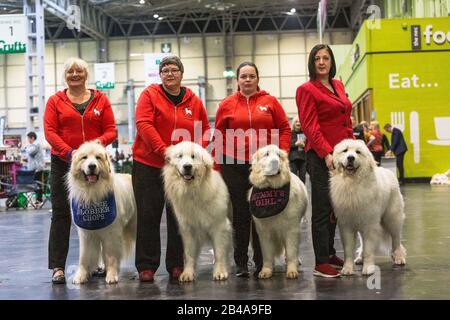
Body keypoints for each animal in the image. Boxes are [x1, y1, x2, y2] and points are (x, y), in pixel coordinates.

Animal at [67, 141, 136, 284]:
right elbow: (84, 257)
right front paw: (80, 276)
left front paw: (111, 275)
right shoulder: (86, 233)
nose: (92, 166)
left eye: (98, 158)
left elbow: (111, 256)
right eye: (84, 158)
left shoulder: (111, 233)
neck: (92, 192)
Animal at [163, 141, 232, 282]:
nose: (187, 166)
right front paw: (187, 273)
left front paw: (220, 272)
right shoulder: (188, 229)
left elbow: (219, 252)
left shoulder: (219, 226)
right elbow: (189, 254)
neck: (192, 191)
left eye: (193, 156)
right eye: (180, 156)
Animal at [248, 144, 308, 278]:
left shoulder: (291, 229)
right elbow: (267, 254)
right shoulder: (264, 232)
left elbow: (291, 251)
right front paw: (266, 271)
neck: (272, 187)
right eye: (266, 154)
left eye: (278, 155)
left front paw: (292, 271)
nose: (275, 162)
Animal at [328, 139, 406, 276]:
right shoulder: (346, 225)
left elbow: (369, 248)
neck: (352, 184)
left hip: (392, 218)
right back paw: (360, 258)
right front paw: (347, 269)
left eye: (358, 152)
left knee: (396, 239)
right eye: (345, 150)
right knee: (363, 243)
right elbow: (348, 249)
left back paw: (399, 257)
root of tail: (389, 172)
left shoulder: (370, 224)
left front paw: (368, 268)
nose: (351, 158)